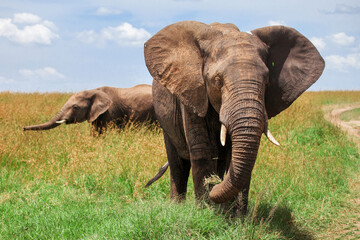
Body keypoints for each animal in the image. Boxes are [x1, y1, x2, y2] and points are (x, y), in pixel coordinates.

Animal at [145, 21, 324, 214]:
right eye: (217, 81)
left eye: (267, 82)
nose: (214, 186)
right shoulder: (192, 91)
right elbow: (201, 151)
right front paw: (205, 212)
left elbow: (233, 155)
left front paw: (236, 216)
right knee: (178, 164)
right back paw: (177, 206)